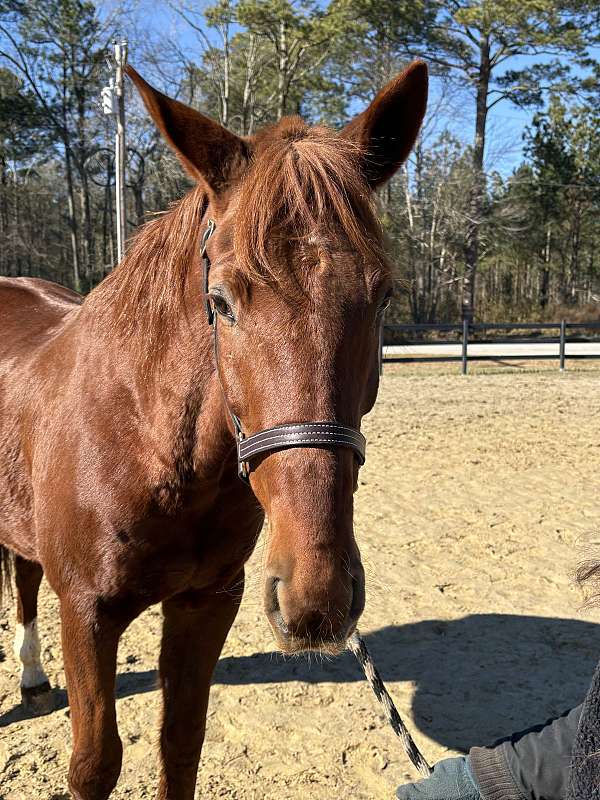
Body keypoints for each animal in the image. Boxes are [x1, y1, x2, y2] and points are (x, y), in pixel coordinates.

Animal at [0, 62, 426, 800]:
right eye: (221, 301)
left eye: (383, 297)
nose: (317, 600)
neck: (146, 447)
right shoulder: (85, 611)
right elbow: (94, 763)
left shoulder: (207, 602)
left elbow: (180, 744)